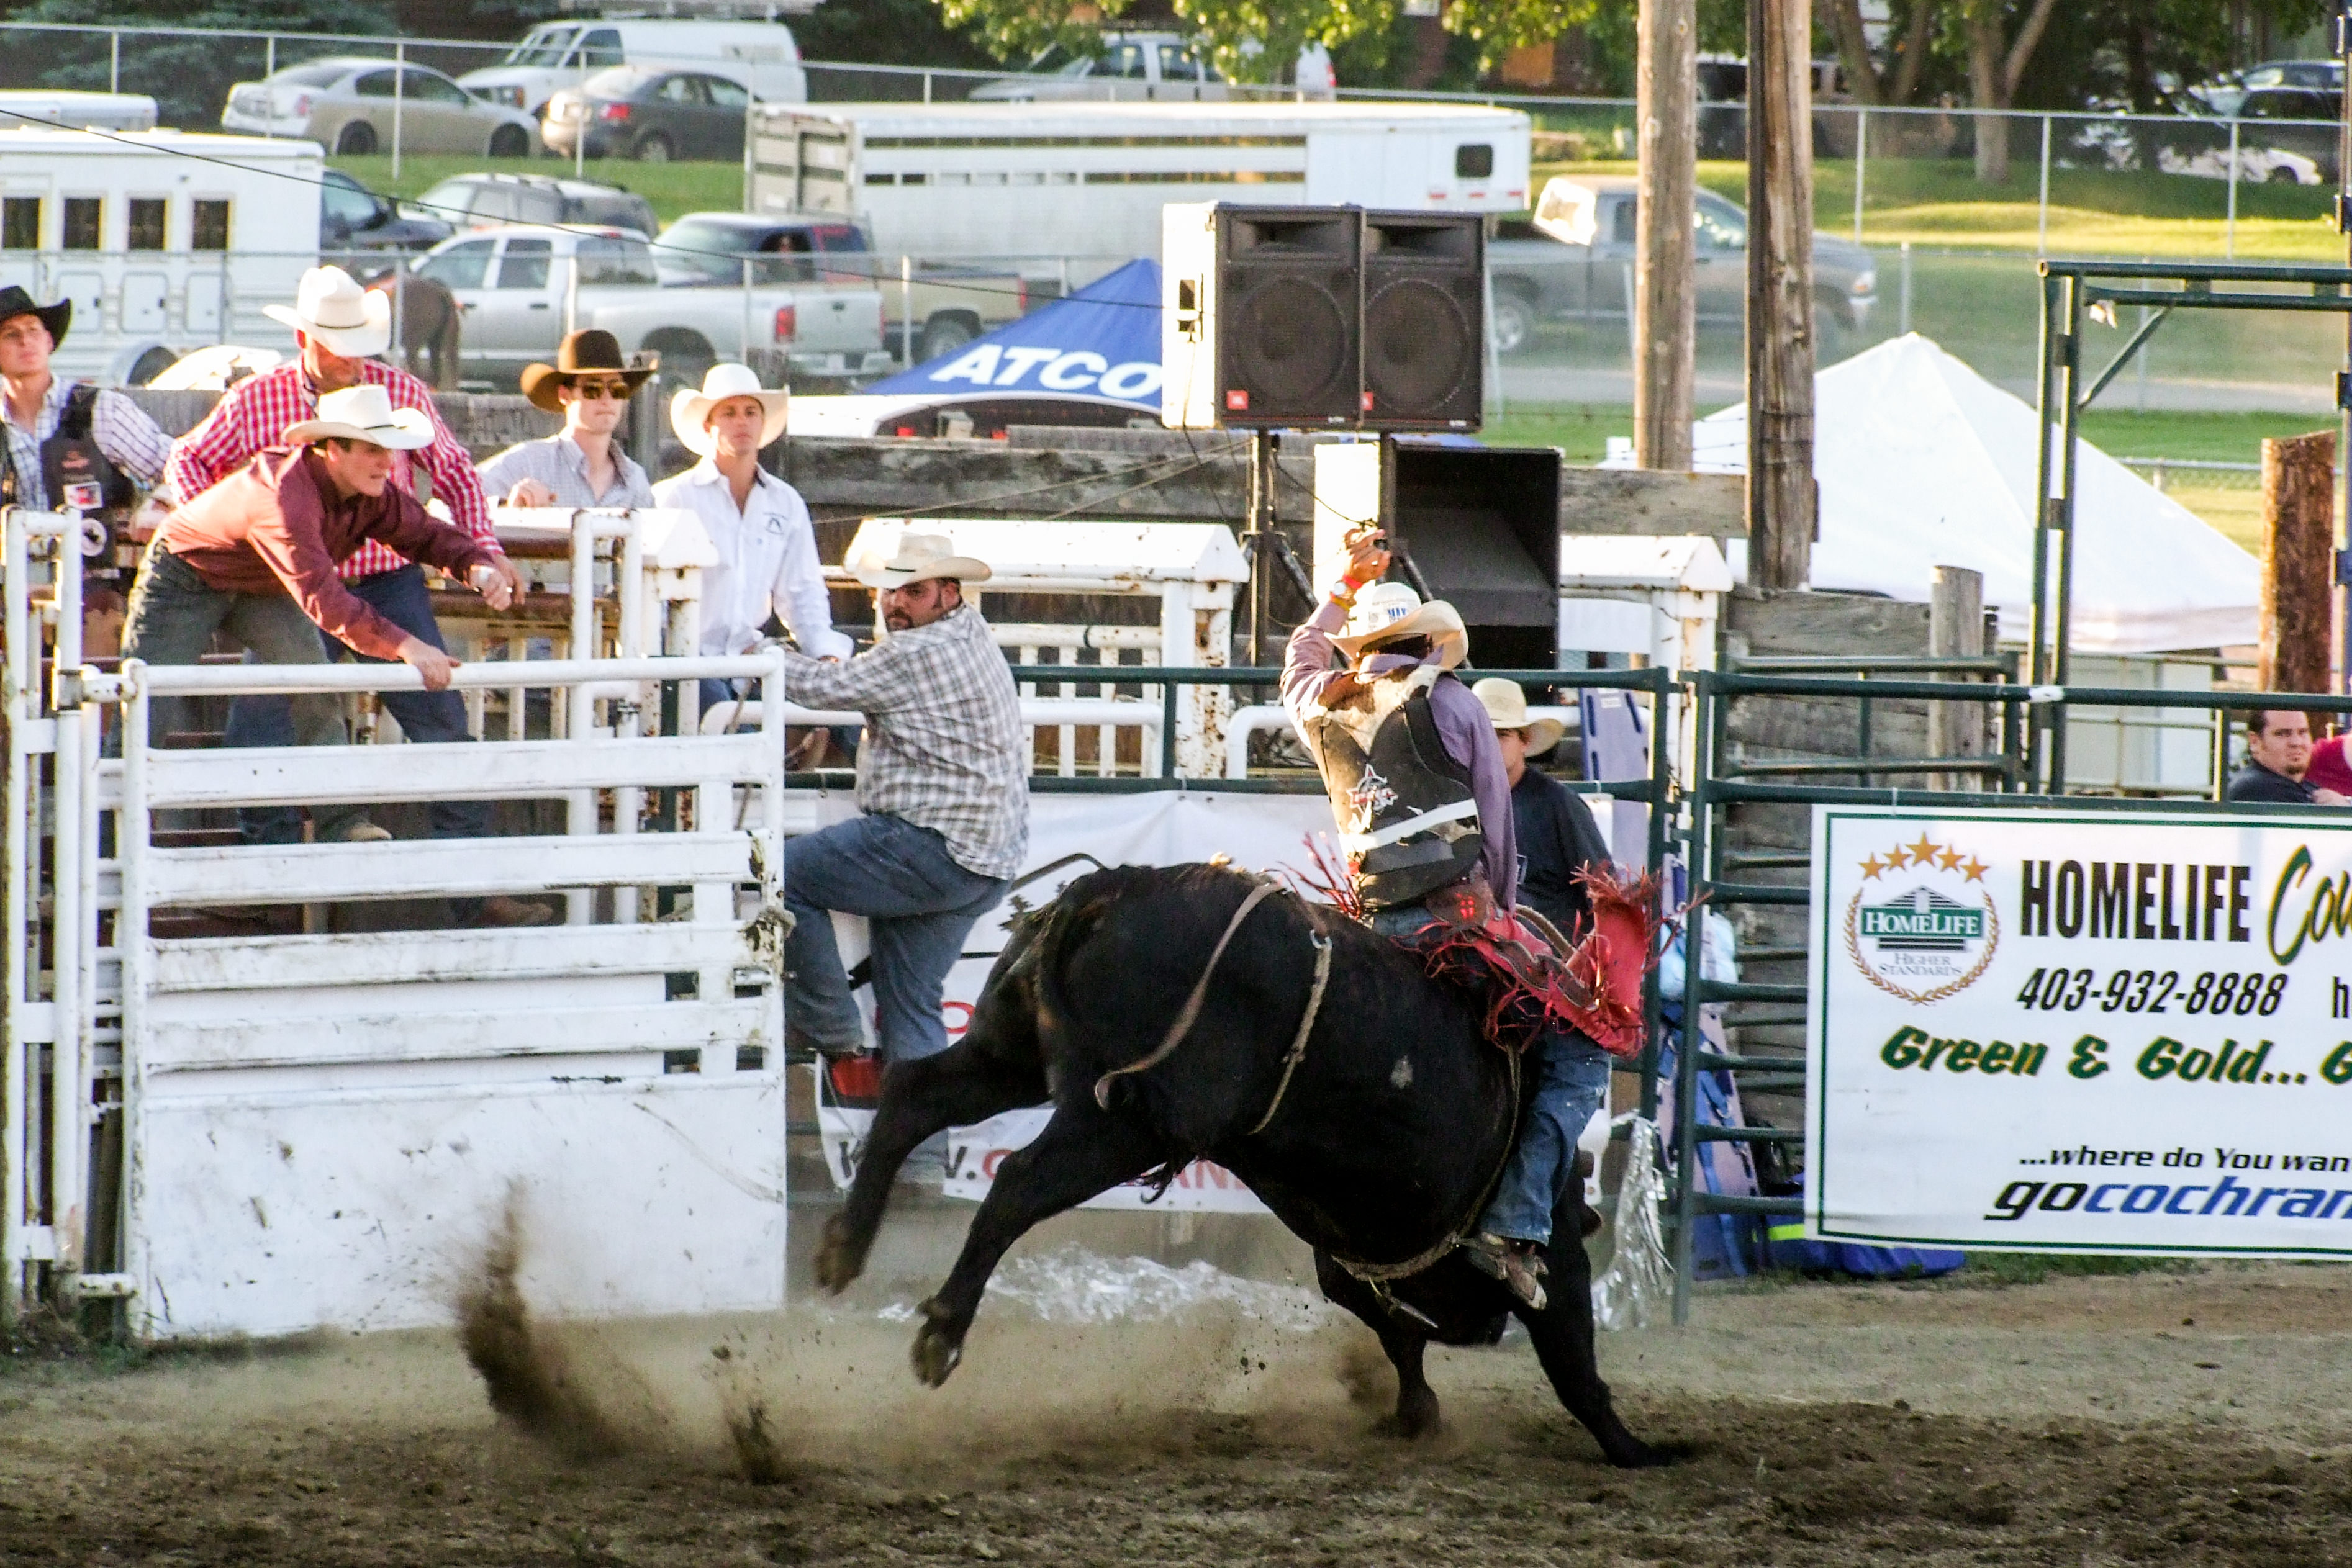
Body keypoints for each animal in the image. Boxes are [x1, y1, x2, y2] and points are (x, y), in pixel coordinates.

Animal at [813, 861, 1668, 1468]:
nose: (1485, 1330)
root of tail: (1109, 889)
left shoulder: (1351, 1261)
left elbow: (1395, 1334)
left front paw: (1414, 1414)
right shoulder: (1549, 1252)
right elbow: (1572, 1360)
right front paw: (1638, 1450)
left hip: (1011, 1054)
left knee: (913, 1097)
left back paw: (843, 1250)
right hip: (1124, 1124)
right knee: (1015, 1184)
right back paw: (940, 1334)